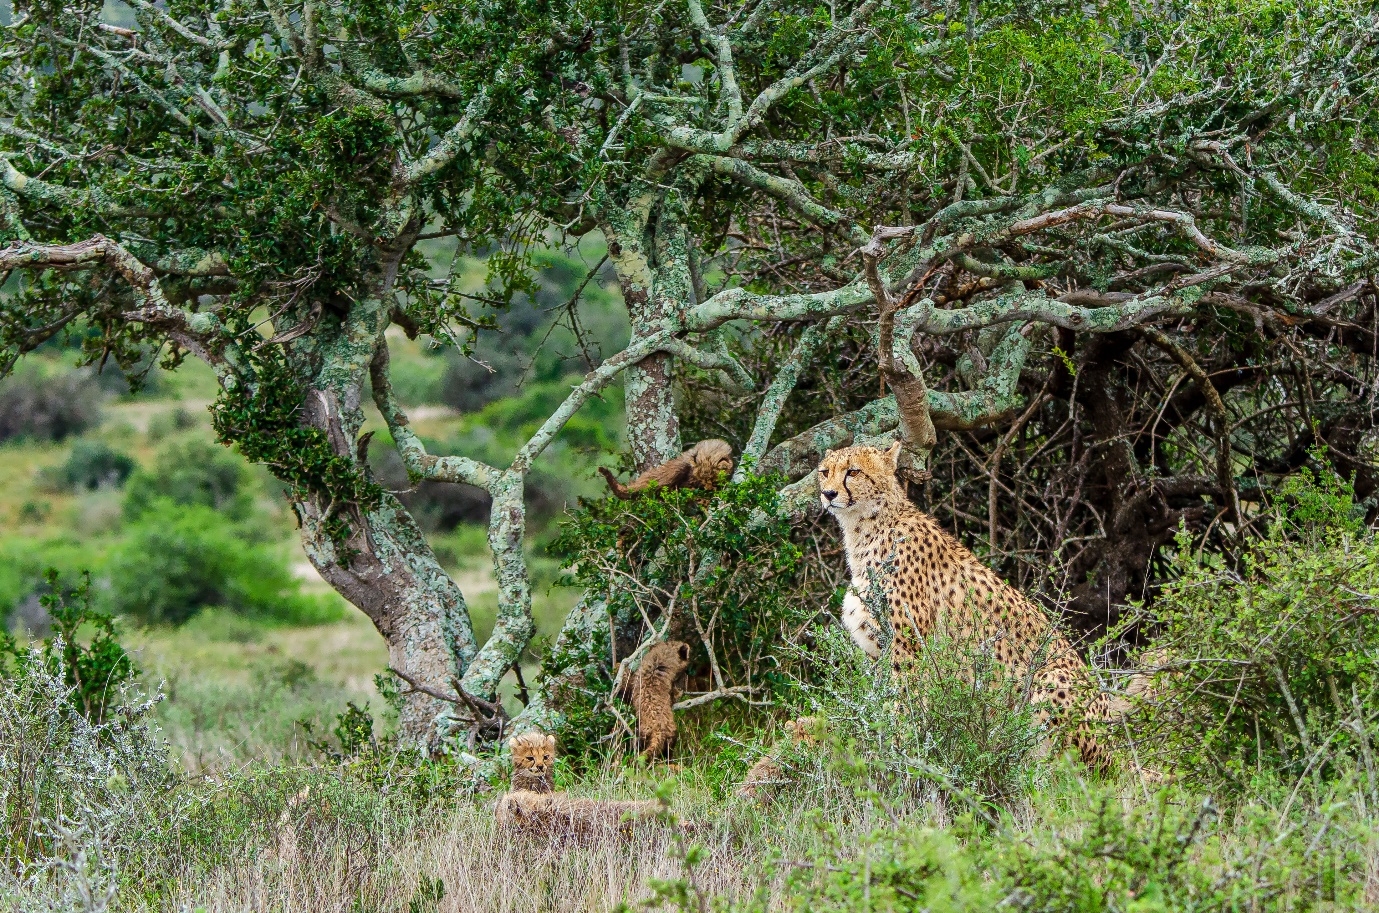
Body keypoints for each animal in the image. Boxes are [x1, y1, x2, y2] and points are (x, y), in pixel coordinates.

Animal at [818, 441, 1115, 770]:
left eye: (853, 471)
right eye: (825, 472)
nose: (828, 494)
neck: (866, 529)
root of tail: (1116, 749)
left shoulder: (907, 647)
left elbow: (904, 704)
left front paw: (901, 750)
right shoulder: (878, 652)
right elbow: (881, 703)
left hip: (1048, 681)